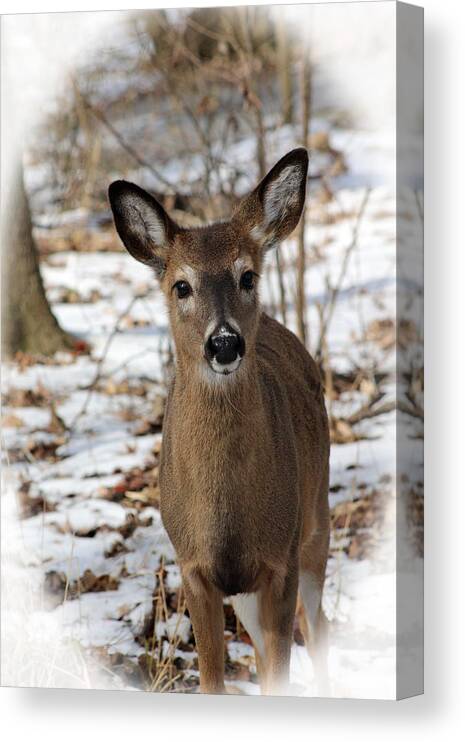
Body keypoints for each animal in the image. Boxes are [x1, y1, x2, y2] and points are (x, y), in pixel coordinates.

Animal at [109, 148, 330, 696]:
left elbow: (280, 670)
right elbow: (214, 680)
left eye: (247, 276)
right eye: (181, 286)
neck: (226, 512)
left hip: (316, 519)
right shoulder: (193, 567)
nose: (224, 343)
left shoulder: (280, 558)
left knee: (318, 628)